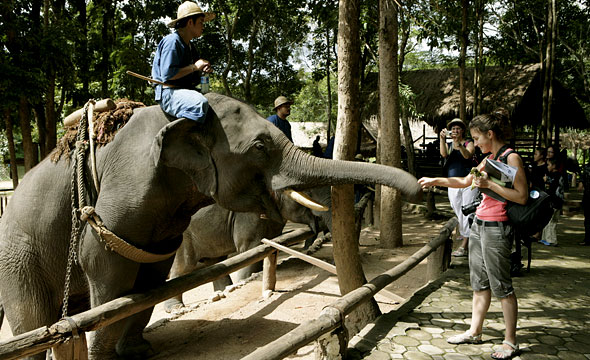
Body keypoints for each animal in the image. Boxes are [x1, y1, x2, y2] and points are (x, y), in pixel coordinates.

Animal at [0, 91, 420, 358]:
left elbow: (148, 277)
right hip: (17, 257)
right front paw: (104, 355)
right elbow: (105, 265)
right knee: (32, 319)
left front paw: (138, 352)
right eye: (260, 147)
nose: (420, 187)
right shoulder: (122, 193)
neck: (175, 116)